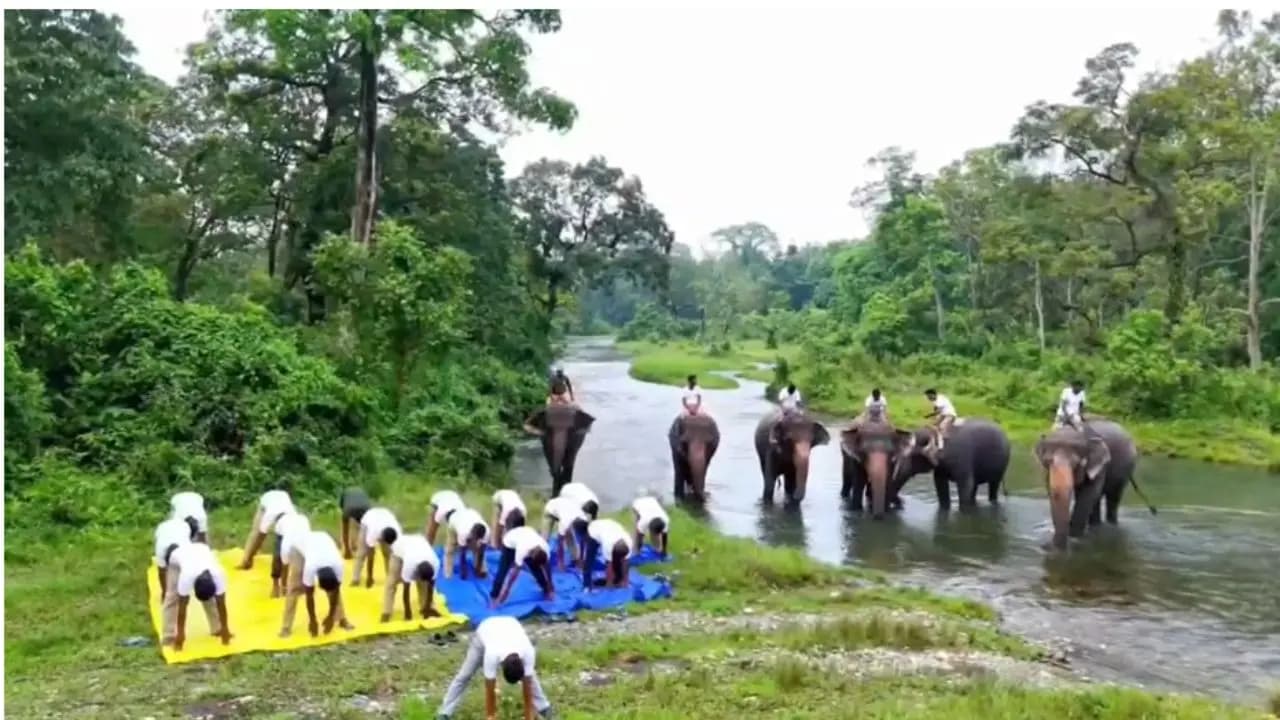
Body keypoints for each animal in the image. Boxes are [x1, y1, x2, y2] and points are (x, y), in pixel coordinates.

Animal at [1034, 419, 1138, 549]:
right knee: (1097, 501)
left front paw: (1074, 538)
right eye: (1047, 461)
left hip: (1126, 468)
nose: (1045, 545)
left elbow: (1087, 495)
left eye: (1076, 464)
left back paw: (1111, 525)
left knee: (1112, 498)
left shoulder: (1099, 465)